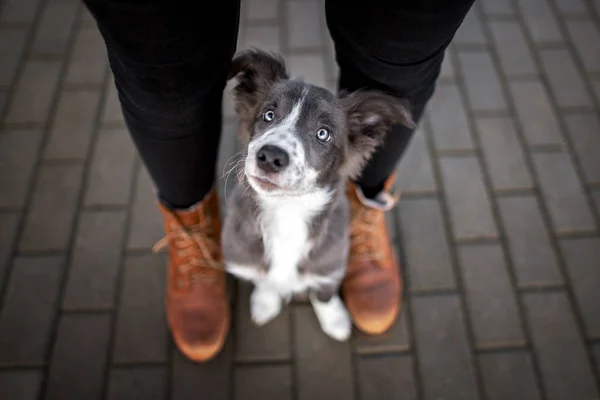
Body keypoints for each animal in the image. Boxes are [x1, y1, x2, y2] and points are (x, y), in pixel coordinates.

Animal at [220, 49, 412, 340]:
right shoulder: (242, 255)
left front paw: (335, 320)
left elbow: (324, 292)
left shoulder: (331, 262)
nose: (271, 157)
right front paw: (265, 301)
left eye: (323, 134)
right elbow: (265, 278)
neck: (287, 211)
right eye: (268, 115)